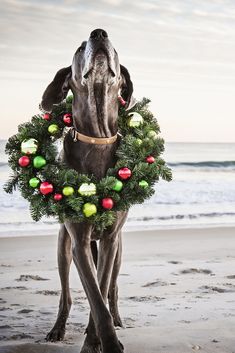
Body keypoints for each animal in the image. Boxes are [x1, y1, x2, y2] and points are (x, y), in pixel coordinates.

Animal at [40, 28, 134, 352]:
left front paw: (98, 340)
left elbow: (102, 291)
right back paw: (58, 328)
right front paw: (102, 343)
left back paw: (118, 318)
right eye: (80, 48)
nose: (99, 33)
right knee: (66, 295)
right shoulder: (79, 241)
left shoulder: (109, 240)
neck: (97, 137)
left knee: (113, 288)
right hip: (62, 246)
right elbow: (93, 295)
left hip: (119, 250)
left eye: (115, 48)